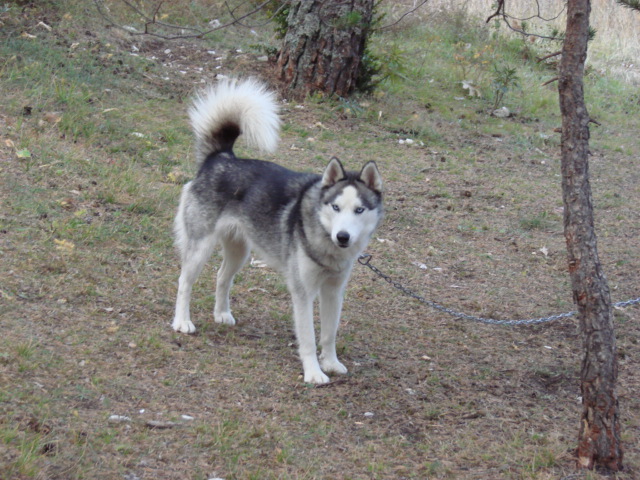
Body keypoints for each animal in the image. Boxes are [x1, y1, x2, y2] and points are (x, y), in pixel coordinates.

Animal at [170, 79, 382, 386]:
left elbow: (329, 334)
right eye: (335, 207)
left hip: (240, 251)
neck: (324, 241)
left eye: (359, 210)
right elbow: (308, 338)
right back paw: (182, 322)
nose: (343, 237)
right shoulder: (303, 292)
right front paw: (314, 373)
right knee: (184, 282)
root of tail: (221, 158)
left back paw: (221, 313)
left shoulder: (333, 291)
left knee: (222, 277)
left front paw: (331, 363)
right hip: (200, 247)